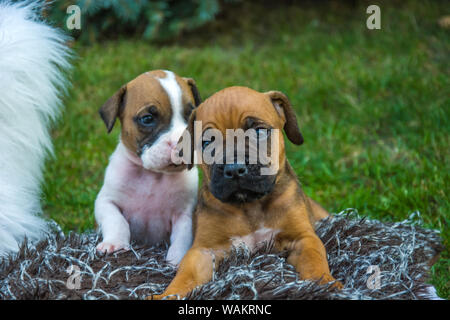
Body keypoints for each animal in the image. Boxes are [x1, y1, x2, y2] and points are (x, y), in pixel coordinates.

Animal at [95, 70, 200, 264]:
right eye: (148, 119)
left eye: (191, 116)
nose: (182, 145)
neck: (152, 175)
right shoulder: (105, 201)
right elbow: (116, 220)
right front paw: (114, 243)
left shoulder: (186, 213)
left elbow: (183, 236)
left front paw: (178, 259)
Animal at [150, 85, 342, 300]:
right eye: (207, 143)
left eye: (259, 132)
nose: (234, 169)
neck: (250, 205)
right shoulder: (203, 251)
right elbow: (186, 275)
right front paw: (168, 294)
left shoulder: (303, 238)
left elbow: (314, 260)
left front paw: (325, 284)